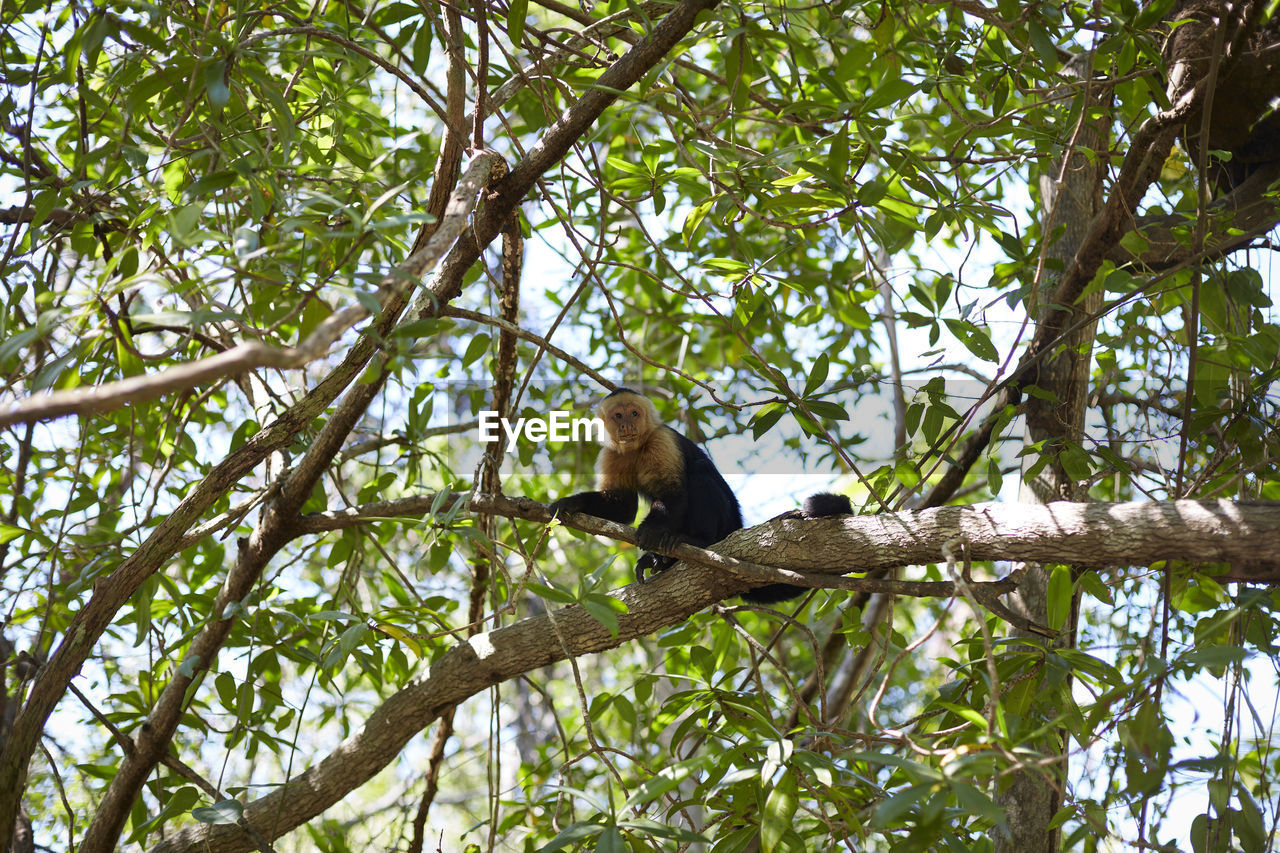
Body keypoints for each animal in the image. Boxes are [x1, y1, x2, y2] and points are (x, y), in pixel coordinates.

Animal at [547, 389, 855, 601]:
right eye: (618, 416)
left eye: (634, 413)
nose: (627, 426)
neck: (638, 446)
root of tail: (735, 525)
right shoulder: (611, 453)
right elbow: (621, 507)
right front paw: (570, 504)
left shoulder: (662, 441)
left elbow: (674, 491)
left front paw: (652, 529)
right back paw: (662, 560)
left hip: (724, 520)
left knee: (699, 474)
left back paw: (697, 542)